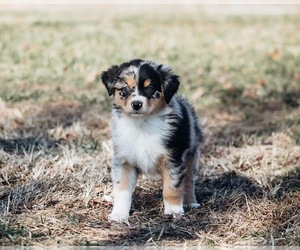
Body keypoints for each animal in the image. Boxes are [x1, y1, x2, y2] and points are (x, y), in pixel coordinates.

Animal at [102, 59, 203, 223]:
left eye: (149, 88)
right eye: (124, 89)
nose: (136, 104)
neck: (143, 124)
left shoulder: (173, 160)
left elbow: (172, 189)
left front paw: (174, 211)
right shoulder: (123, 160)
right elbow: (122, 190)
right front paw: (118, 215)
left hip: (191, 155)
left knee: (188, 181)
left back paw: (190, 202)